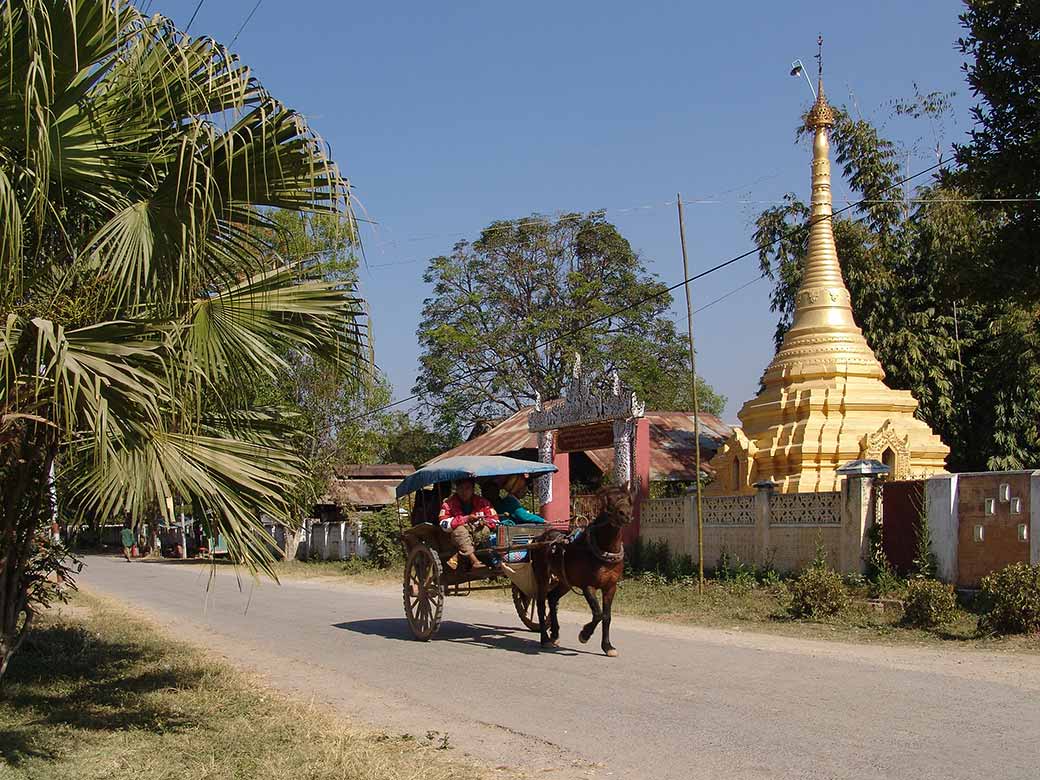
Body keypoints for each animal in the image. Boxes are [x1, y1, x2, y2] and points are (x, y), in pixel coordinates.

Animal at [532, 490, 628, 657]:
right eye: (609, 501)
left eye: (629, 498)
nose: (625, 514)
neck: (604, 551)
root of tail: (539, 538)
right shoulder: (588, 586)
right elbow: (598, 613)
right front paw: (584, 634)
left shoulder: (610, 587)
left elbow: (607, 616)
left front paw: (607, 646)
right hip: (542, 576)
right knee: (541, 605)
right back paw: (545, 639)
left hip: (564, 581)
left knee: (552, 598)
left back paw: (555, 634)